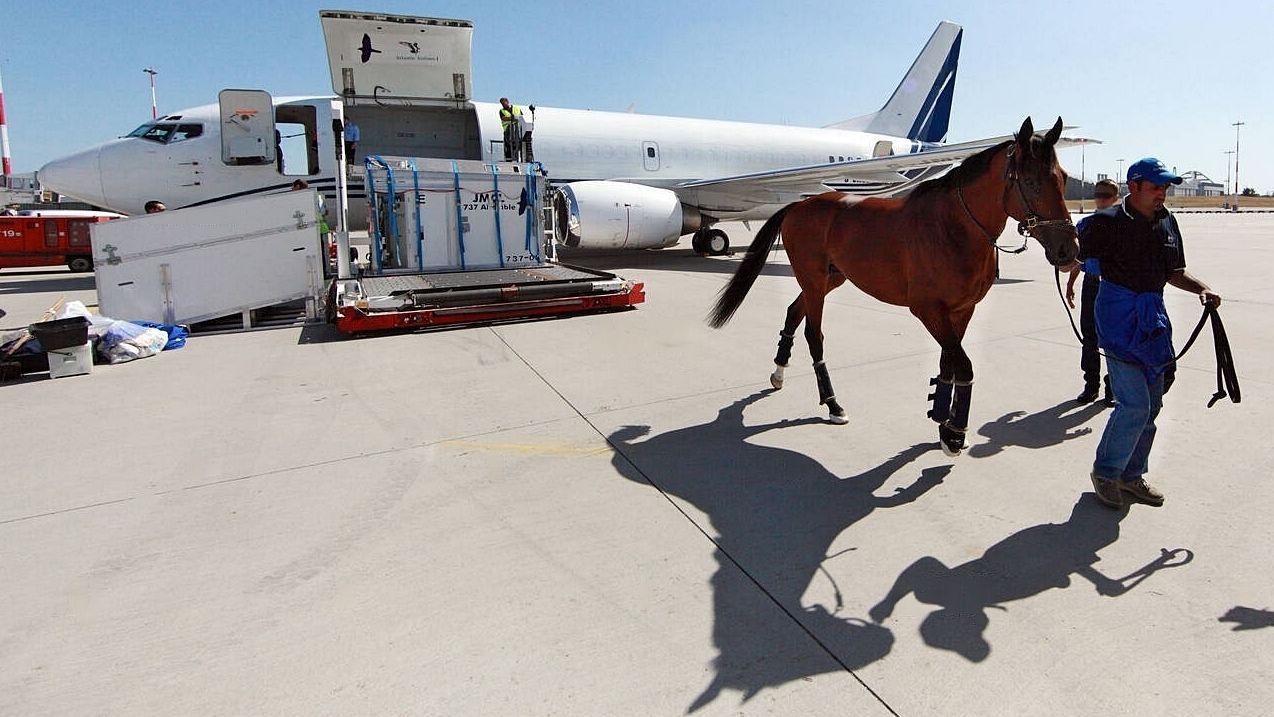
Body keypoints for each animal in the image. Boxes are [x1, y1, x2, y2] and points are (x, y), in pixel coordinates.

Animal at [707, 117, 1079, 455]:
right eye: (1030, 181)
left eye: (1062, 179)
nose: (1068, 251)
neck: (952, 228)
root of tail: (799, 204)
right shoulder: (929, 311)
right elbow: (963, 365)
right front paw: (955, 434)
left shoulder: (961, 311)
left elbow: (948, 364)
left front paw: (942, 421)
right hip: (814, 280)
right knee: (814, 335)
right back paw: (833, 404)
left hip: (829, 279)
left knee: (793, 312)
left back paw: (779, 374)